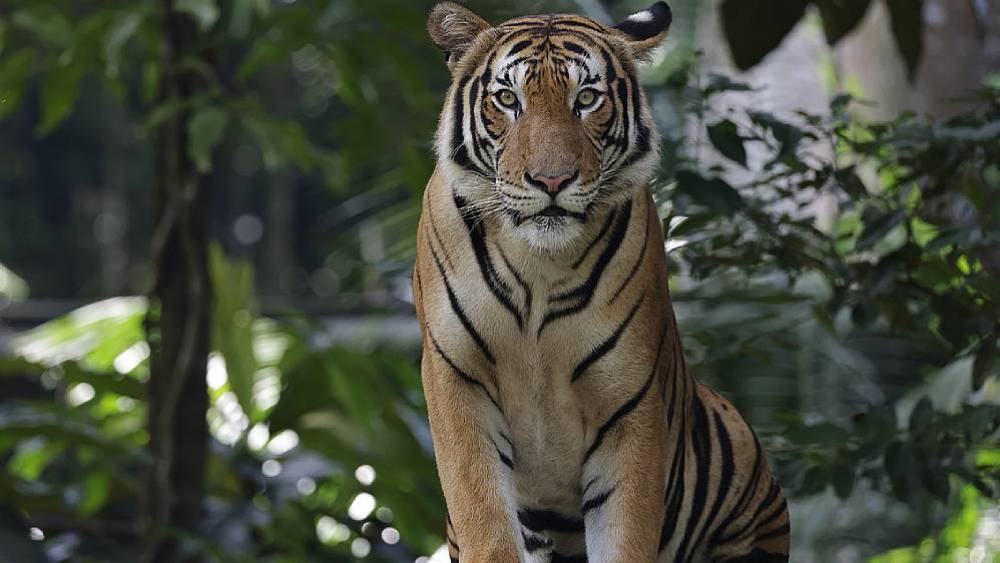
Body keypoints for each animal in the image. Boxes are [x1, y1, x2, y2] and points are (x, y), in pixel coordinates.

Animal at [411, 2, 790, 561]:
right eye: (508, 99)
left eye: (586, 99)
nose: (551, 181)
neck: (538, 265)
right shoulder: (455, 375)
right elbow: (483, 514)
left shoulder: (629, 398)